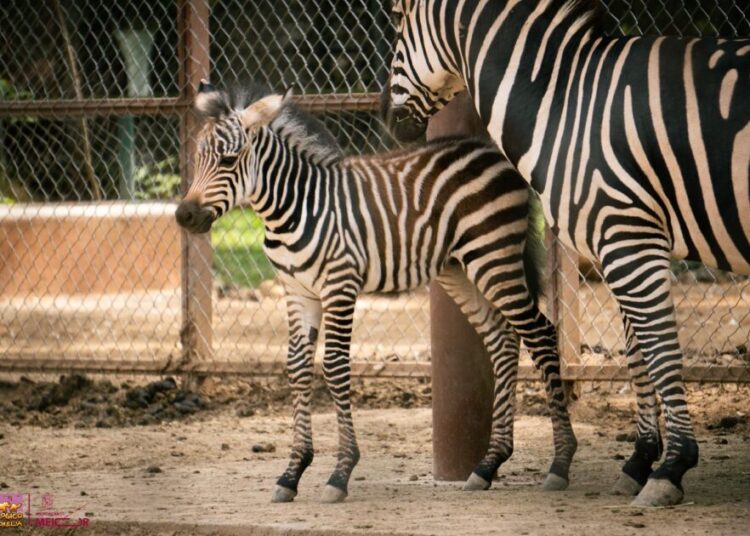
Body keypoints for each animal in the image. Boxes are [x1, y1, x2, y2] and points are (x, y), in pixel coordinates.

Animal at [176, 81, 578, 503]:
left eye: (228, 160)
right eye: (198, 157)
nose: (184, 215)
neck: (291, 209)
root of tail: (493, 153)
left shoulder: (339, 284)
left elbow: (335, 365)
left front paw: (340, 473)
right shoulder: (298, 293)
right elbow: (297, 367)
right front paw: (292, 473)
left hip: (493, 255)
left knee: (540, 333)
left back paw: (560, 463)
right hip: (459, 268)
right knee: (502, 341)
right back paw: (488, 464)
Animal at [382, 0, 750, 507]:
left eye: (398, 20)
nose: (389, 122)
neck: (564, 103)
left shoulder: (627, 234)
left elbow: (660, 350)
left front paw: (672, 466)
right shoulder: (623, 241)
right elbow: (638, 353)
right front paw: (639, 460)